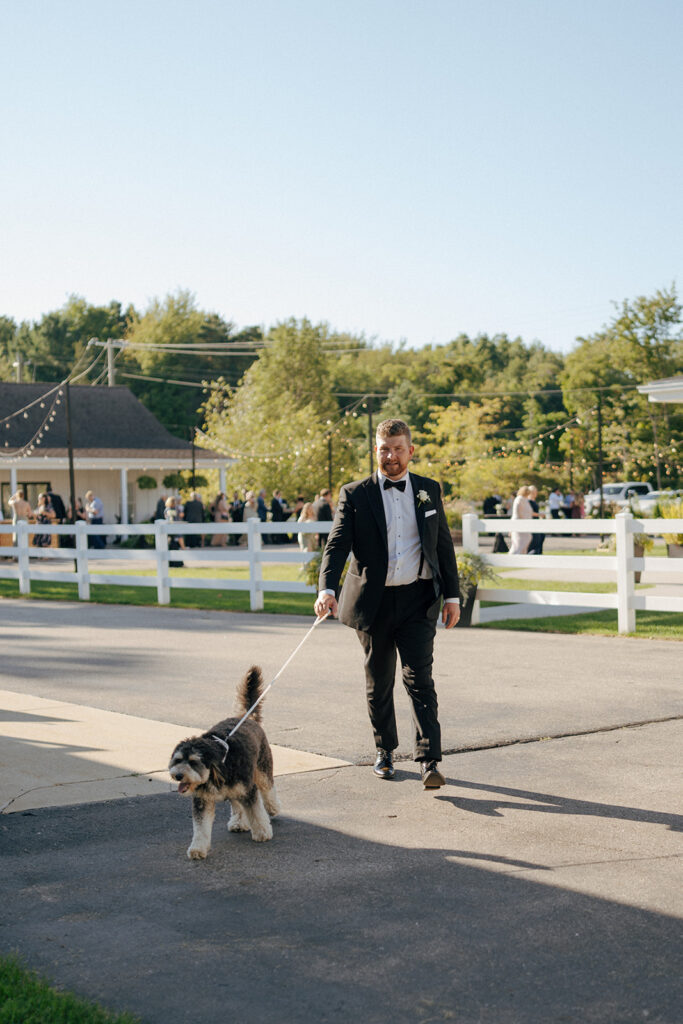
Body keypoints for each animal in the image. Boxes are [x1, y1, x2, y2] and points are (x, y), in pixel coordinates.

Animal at [168, 667, 280, 860]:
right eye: (178, 759)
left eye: (194, 762)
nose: (178, 775)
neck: (218, 766)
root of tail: (246, 717)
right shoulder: (202, 800)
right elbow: (201, 828)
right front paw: (198, 848)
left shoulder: (248, 790)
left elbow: (256, 812)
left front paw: (262, 832)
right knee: (237, 805)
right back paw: (238, 822)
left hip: (262, 769)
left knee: (268, 789)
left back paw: (273, 808)